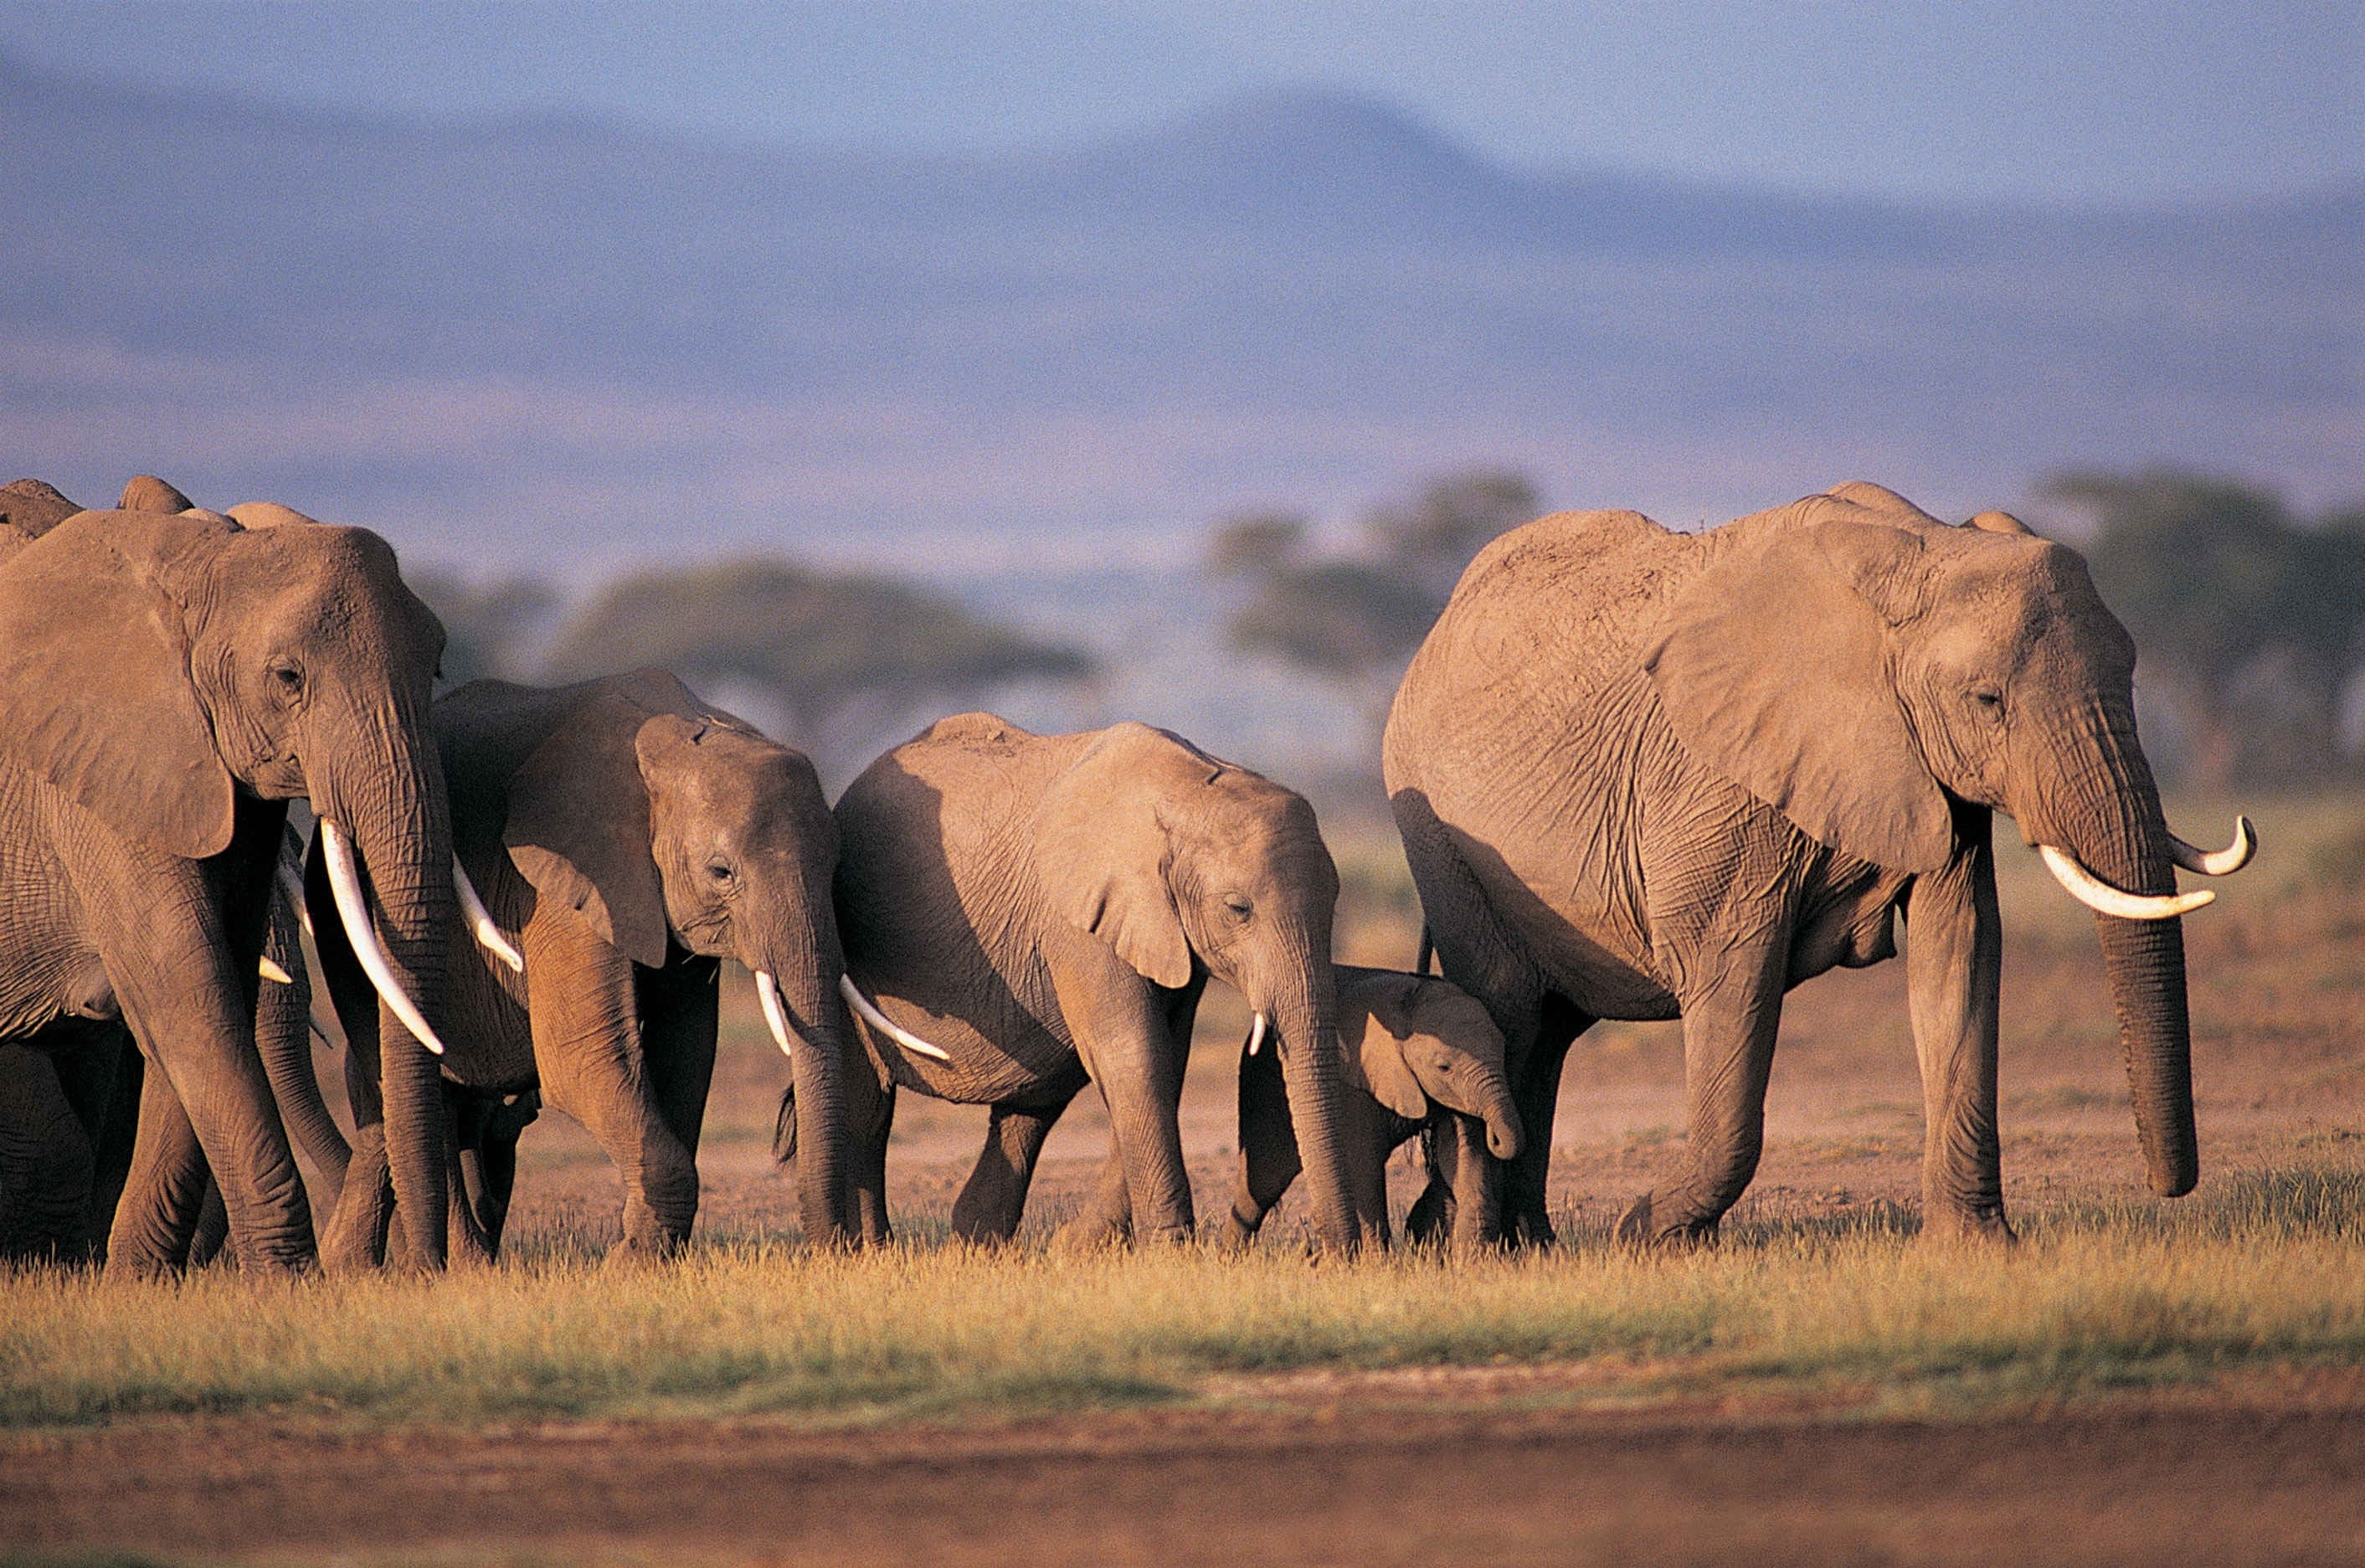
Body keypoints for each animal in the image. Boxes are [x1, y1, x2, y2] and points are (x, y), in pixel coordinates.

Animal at [0, 477, 459, 1277]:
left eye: (435, 666)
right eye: (289, 678)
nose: (425, 1270)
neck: (196, 559)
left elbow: (214, 988)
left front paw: (135, 1282)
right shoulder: (95, 772)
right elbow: (185, 986)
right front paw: (288, 1281)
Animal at [314, 666, 861, 1257]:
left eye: (837, 866)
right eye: (721, 873)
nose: (835, 1248)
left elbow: (687, 1052)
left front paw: (641, 1251)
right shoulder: (565, 882)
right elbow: (584, 1060)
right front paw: (627, 1263)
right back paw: (452, 1266)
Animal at [818, 714, 1362, 1248]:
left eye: (1335, 904)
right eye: (1237, 909)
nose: (1334, 1251)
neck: (1189, 790)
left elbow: (1166, 1057)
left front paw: (1080, 1247)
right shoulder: (1078, 920)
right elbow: (1133, 1053)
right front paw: (1169, 1250)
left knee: (1031, 1107)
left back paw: (978, 1244)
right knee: (869, 1107)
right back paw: (875, 1249)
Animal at [1220, 955, 1514, 1248]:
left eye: (1503, 1051)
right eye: (1444, 1067)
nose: (1496, 1138)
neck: (1409, 1001)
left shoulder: (1457, 1094)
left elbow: (1462, 1153)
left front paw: (1473, 1255)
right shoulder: (1352, 1083)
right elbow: (1363, 1162)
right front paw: (1378, 1259)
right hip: (1265, 1081)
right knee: (1266, 1175)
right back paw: (1231, 1254)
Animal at [1380, 477, 2251, 1248]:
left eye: (2131, 676)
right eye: (1986, 702)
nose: (2166, 1187)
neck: (1923, 548)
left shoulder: (1929, 777)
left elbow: (1960, 955)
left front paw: (1978, 1249)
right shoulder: (1718, 783)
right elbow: (1731, 971)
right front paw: (1648, 1238)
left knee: (1549, 1036)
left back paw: (1528, 1243)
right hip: (1441, 838)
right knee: (1511, 1011)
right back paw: (1475, 1243)